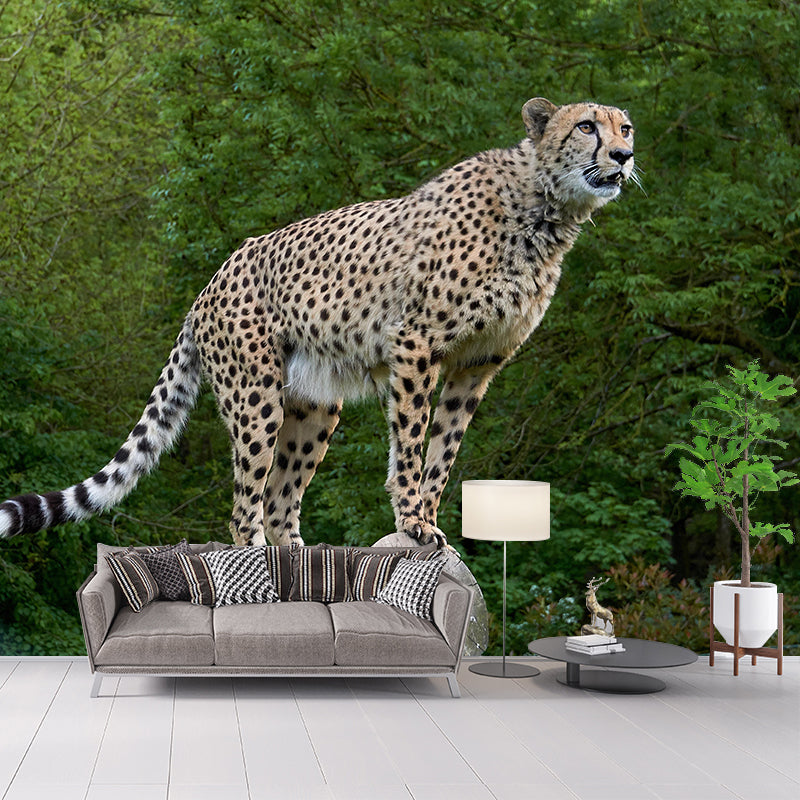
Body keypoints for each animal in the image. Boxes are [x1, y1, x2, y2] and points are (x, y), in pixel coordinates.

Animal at [0, 97, 635, 548]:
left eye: (625, 128)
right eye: (586, 127)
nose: (625, 157)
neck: (545, 209)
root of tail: (209, 283)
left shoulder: (477, 363)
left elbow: (444, 450)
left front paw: (428, 522)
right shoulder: (417, 343)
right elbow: (410, 443)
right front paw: (411, 520)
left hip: (313, 406)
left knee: (280, 502)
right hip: (256, 396)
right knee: (245, 508)